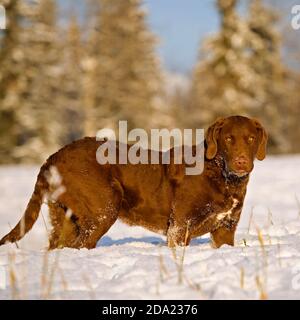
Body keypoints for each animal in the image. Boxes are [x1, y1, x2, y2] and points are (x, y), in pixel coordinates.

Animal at [0, 116, 268, 249]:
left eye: (250, 138)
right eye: (229, 139)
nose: (241, 162)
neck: (223, 176)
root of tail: (53, 156)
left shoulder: (226, 228)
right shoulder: (179, 228)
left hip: (65, 217)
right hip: (104, 207)